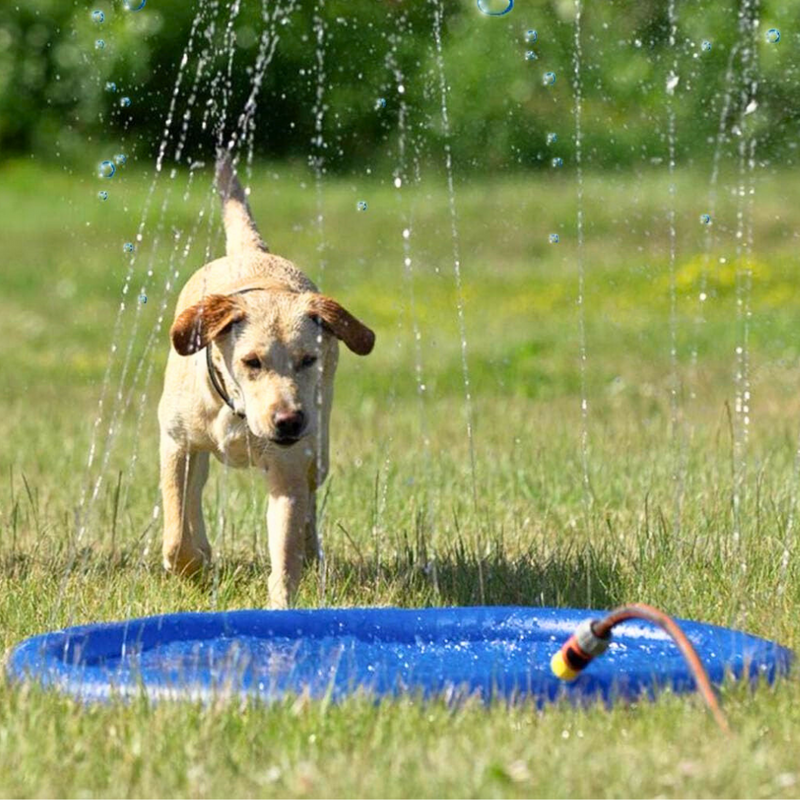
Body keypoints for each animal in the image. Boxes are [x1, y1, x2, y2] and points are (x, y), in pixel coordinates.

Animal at [162, 155, 378, 608]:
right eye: (251, 362)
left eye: (308, 359)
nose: (289, 421)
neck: (238, 413)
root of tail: (250, 251)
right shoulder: (174, 443)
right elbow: (176, 530)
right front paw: (192, 567)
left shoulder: (289, 468)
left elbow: (285, 547)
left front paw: (281, 608)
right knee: (193, 494)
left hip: (320, 443)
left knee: (311, 501)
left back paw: (313, 552)